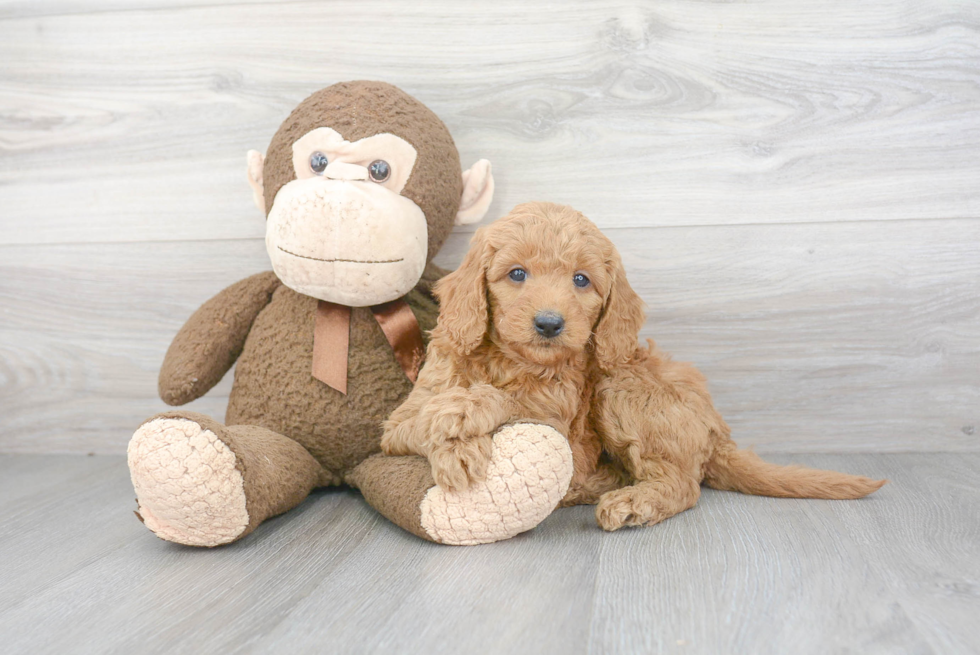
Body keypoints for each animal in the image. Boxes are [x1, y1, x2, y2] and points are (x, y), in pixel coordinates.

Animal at [378, 202, 884, 532]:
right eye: (516, 273)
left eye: (582, 280)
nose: (549, 323)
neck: (510, 362)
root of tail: (717, 431)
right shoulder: (400, 420)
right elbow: (418, 421)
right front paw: (457, 446)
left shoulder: (561, 427)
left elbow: (513, 403)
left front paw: (466, 415)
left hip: (621, 387)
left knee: (682, 484)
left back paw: (631, 500)